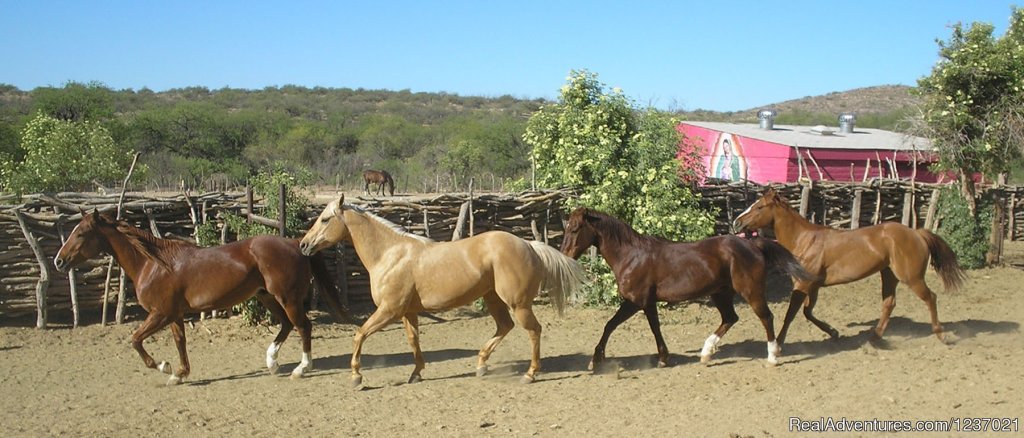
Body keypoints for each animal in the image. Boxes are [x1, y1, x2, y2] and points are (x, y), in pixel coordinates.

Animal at [51, 210, 348, 384]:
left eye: (81, 233)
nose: (58, 261)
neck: (153, 263)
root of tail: (295, 243)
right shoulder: (174, 314)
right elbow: (180, 342)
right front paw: (179, 373)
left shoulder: (160, 313)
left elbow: (135, 340)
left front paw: (163, 366)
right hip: (267, 297)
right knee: (287, 325)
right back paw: (272, 363)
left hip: (287, 298)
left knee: (303, 326)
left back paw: (302, 368)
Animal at [299, 194, 585, 382]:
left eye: (325, 219)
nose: (303, 245)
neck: (390, 254)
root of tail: (529, 245)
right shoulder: (407, 312)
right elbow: (413, 339)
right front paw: (416, 373)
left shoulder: (389, 310)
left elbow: (359, 334)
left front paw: (356, 375)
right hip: (493, 299)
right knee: (505, 326)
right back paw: (481, 365)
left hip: (518, 303)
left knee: (533, 330)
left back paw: (530, 373)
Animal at [561, 206, 815, 368]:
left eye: (575, 229)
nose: (565, 256)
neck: (631, 256)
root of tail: (753, 244)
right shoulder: (646, 303)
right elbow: (649, 327)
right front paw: (663, 357)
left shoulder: (636, 302)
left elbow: (612, 325)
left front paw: (596, 359)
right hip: (720, 293)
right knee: (730, 318)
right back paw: (706, 353)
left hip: (750, 291)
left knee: (766, 317)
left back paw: (772, 356)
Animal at [733, 186, 962, 347]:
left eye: (759, 207)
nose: (736, 222)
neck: (804, 240)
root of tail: (917, 233)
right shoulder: (813, 286)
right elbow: (807, 312)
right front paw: (834, 333)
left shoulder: (803, 284)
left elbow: (791, 314)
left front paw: (778, 344)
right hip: (888, 274)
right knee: (889, 303)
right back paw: (874, 338)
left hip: (911, 277)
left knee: (930, 298)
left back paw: (942, 335)